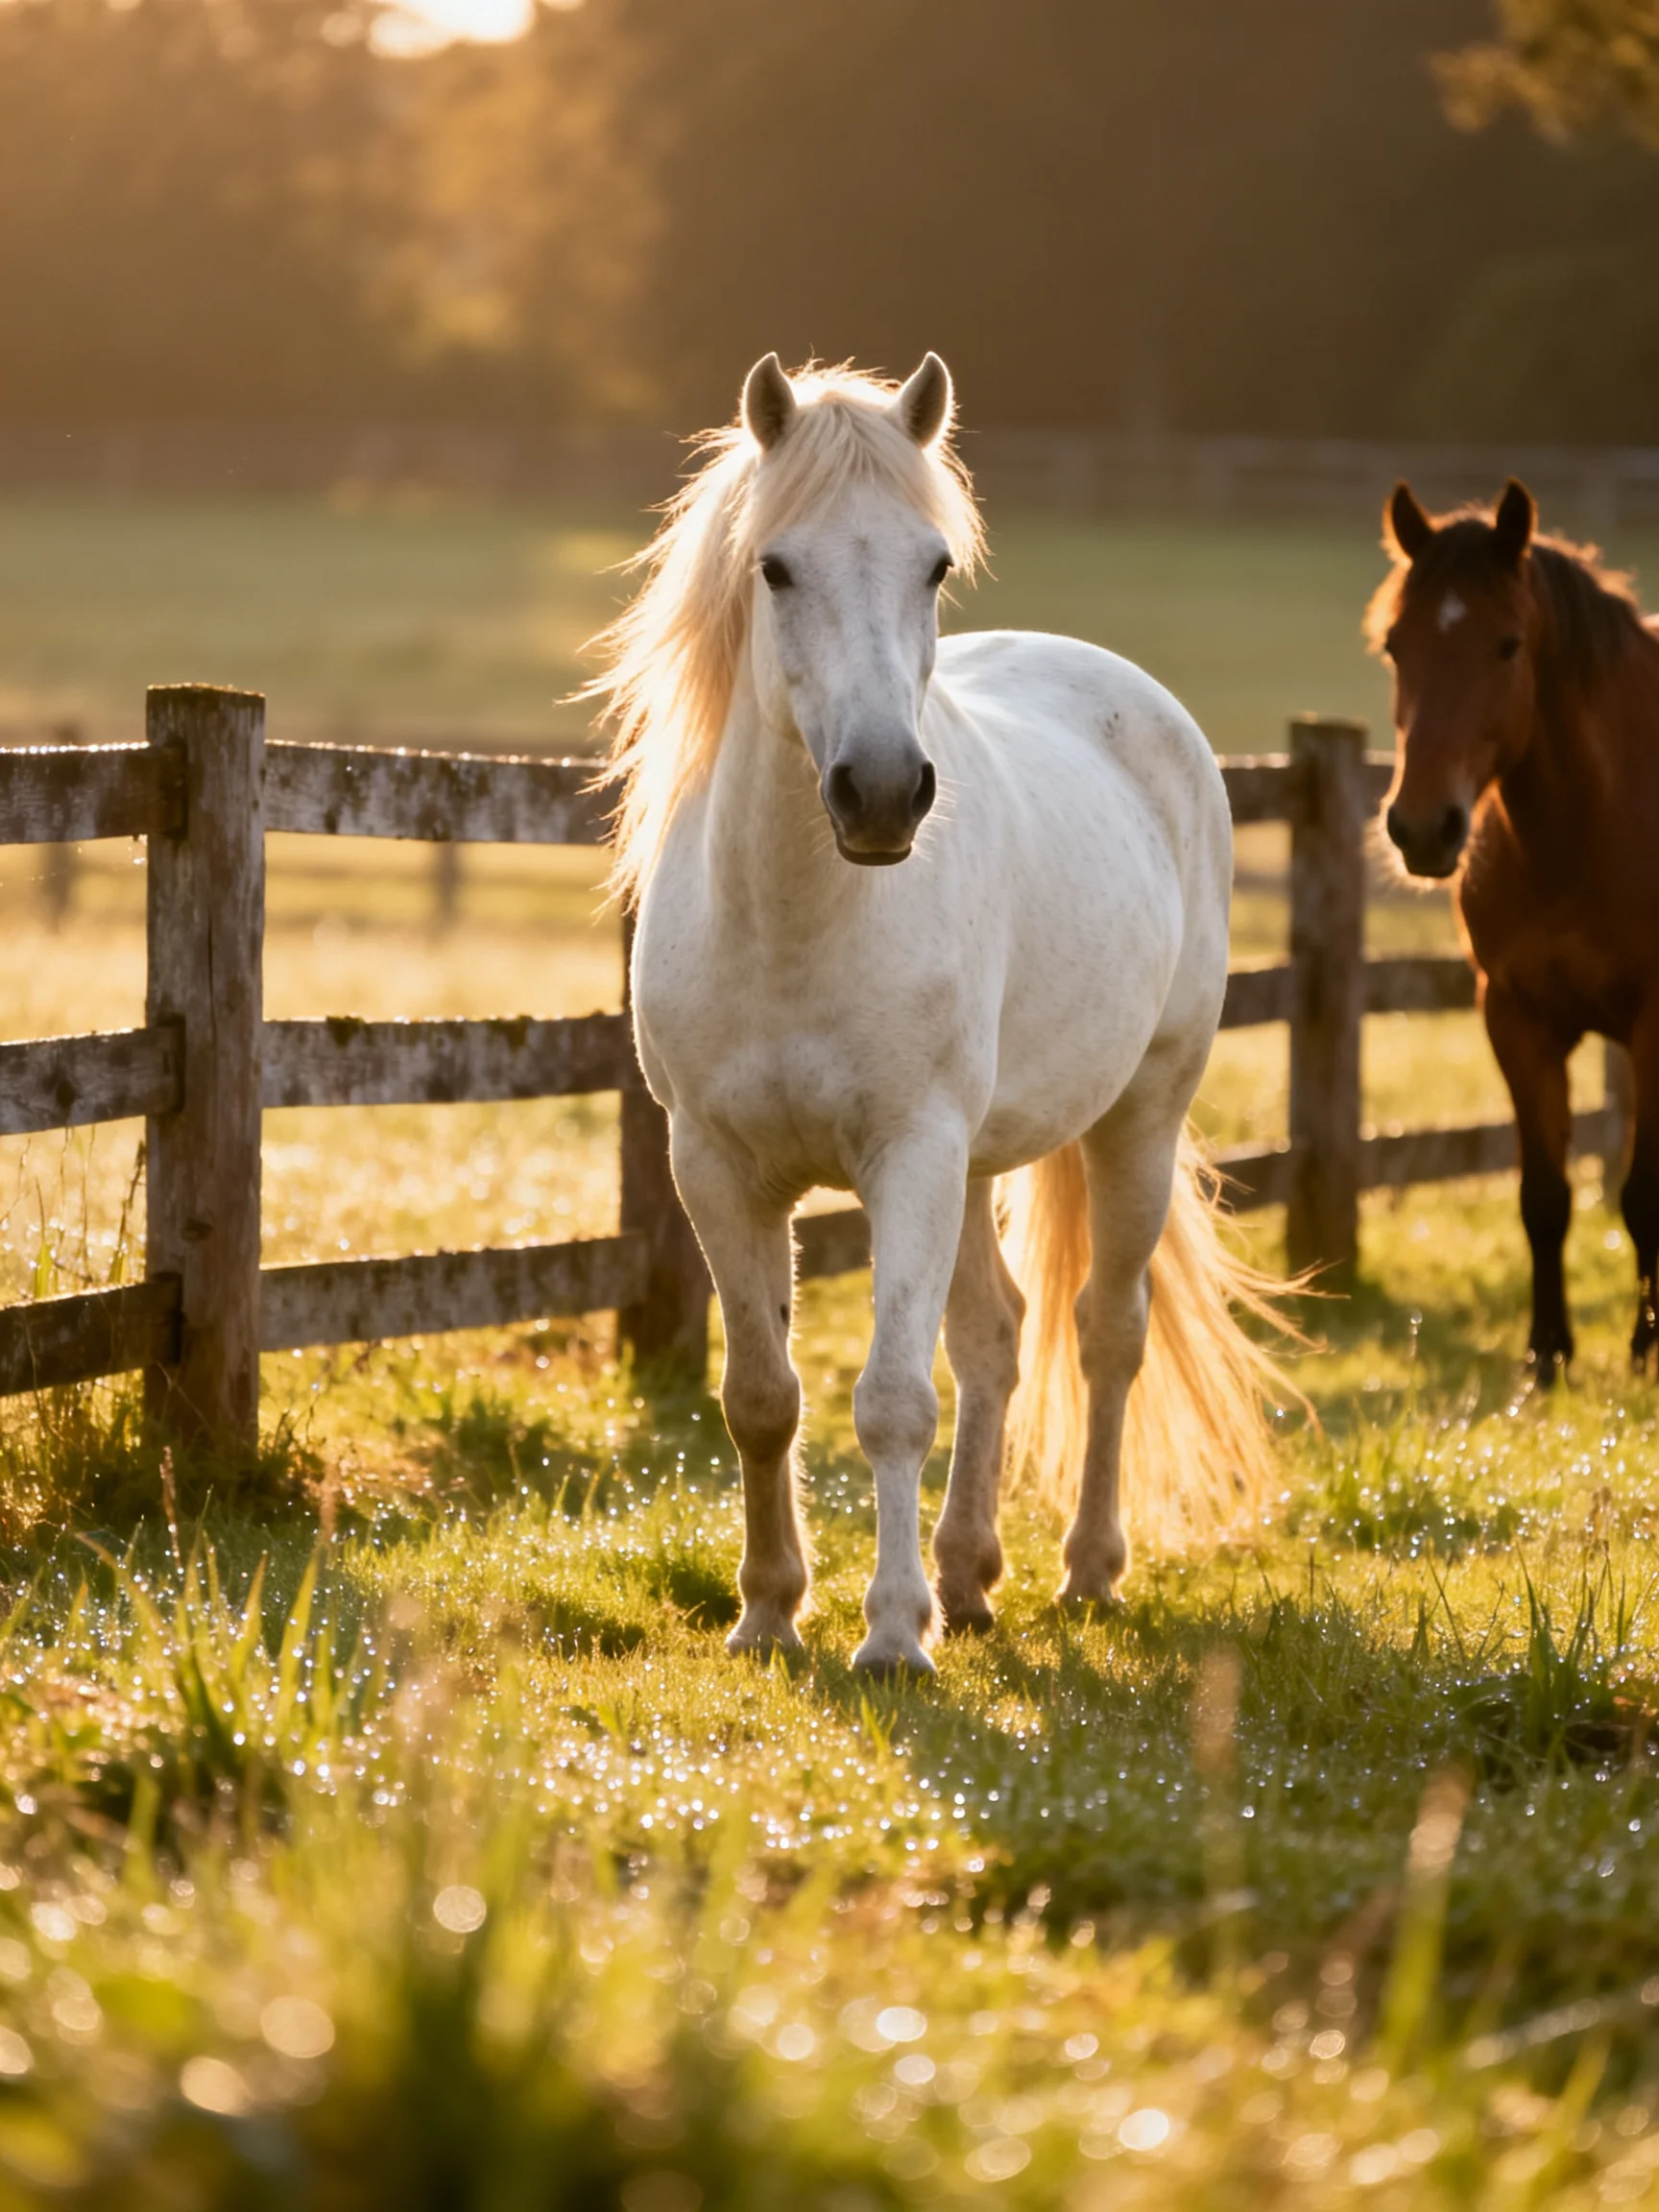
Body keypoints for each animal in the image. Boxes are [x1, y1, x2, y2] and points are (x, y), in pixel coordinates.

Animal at [592, 353, 1287, 1674]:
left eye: (933, 566)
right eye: (776, 566)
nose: (879, 793)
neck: (796, 925)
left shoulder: (907, 1155)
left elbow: (890, 1401)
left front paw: (889, 1637)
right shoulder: (717, 1166)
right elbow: (762, 1398)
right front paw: (769, 1613)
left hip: (1136, 1118)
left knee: (1103, 1330)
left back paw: (1085, 1570)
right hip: (974, 1165)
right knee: (996, 1335)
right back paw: (969, 1576)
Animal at [1372, 478, 1659, 1380]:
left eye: (1507, 645)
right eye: (1395, 646)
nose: (1422, 829)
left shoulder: (1654, 1022)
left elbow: (1642, 1193)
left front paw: (1645, 1351)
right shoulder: (1514, 1015)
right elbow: (1545, 1196)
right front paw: (1547, 1355)